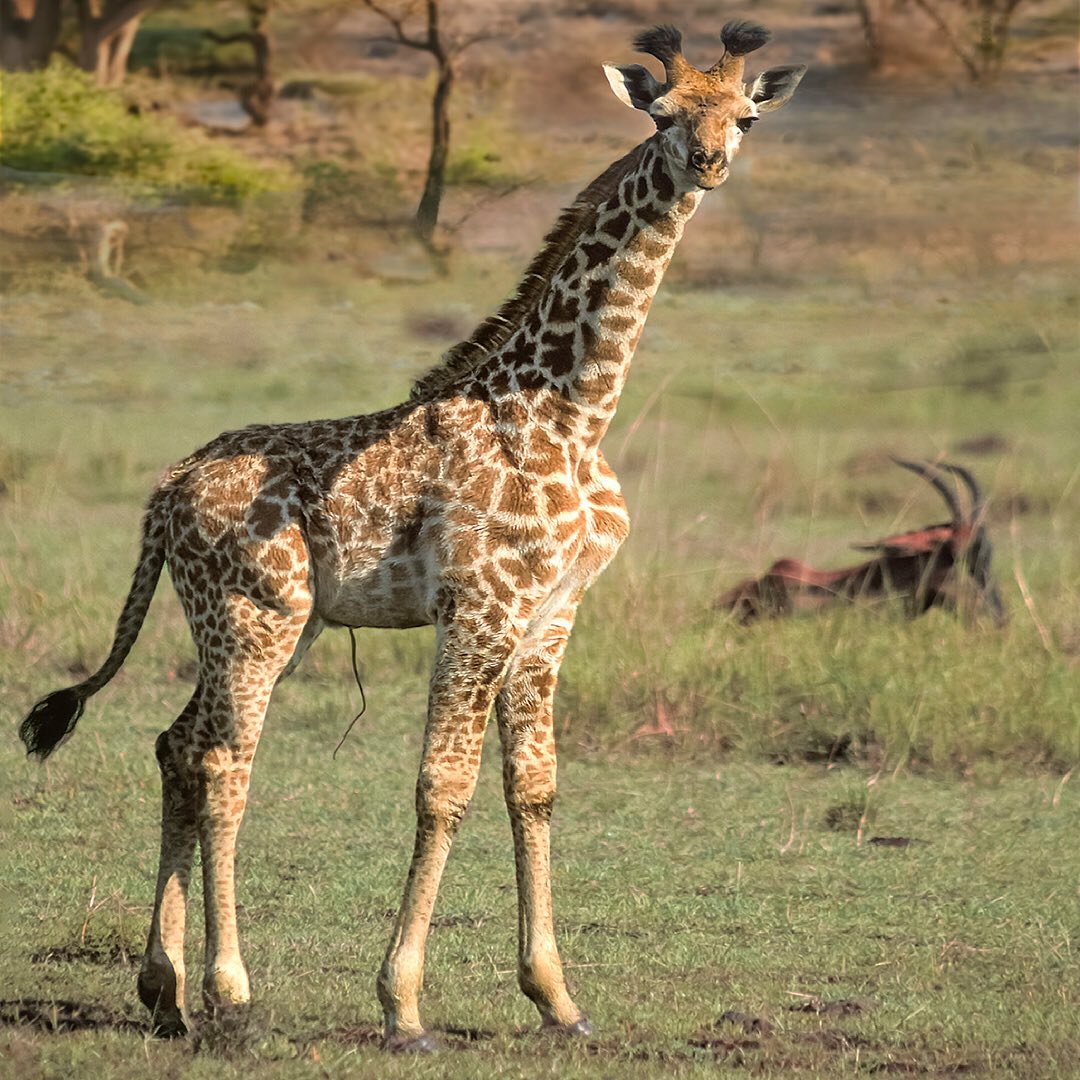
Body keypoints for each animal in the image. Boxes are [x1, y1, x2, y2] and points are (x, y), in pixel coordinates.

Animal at [21, 21, 807, 1049]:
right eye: (664, 114)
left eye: (744, 116)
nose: (708, 164)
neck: (574, 413)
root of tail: (167, 489)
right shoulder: (480, 608)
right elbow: (444, 787)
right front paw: (402, 1005)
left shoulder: (550, 616)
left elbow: (534, 786)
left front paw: (558, 1000)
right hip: (253, 614)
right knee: (225, 761)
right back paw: (233, 996)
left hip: (275, 624)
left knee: (176, 745)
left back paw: (167, 993)